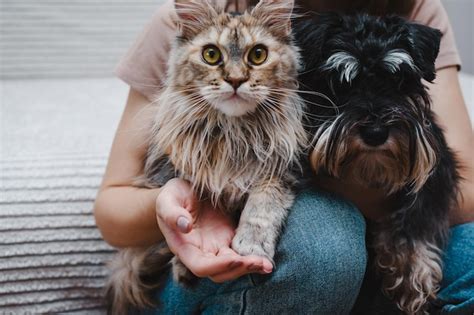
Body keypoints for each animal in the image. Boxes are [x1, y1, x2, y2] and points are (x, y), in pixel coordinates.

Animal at [294, 13, 462, 314]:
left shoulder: (437, 172)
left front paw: (412, 271)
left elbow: (417, 218)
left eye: (398, 82)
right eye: (341, 84)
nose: (375, 133)